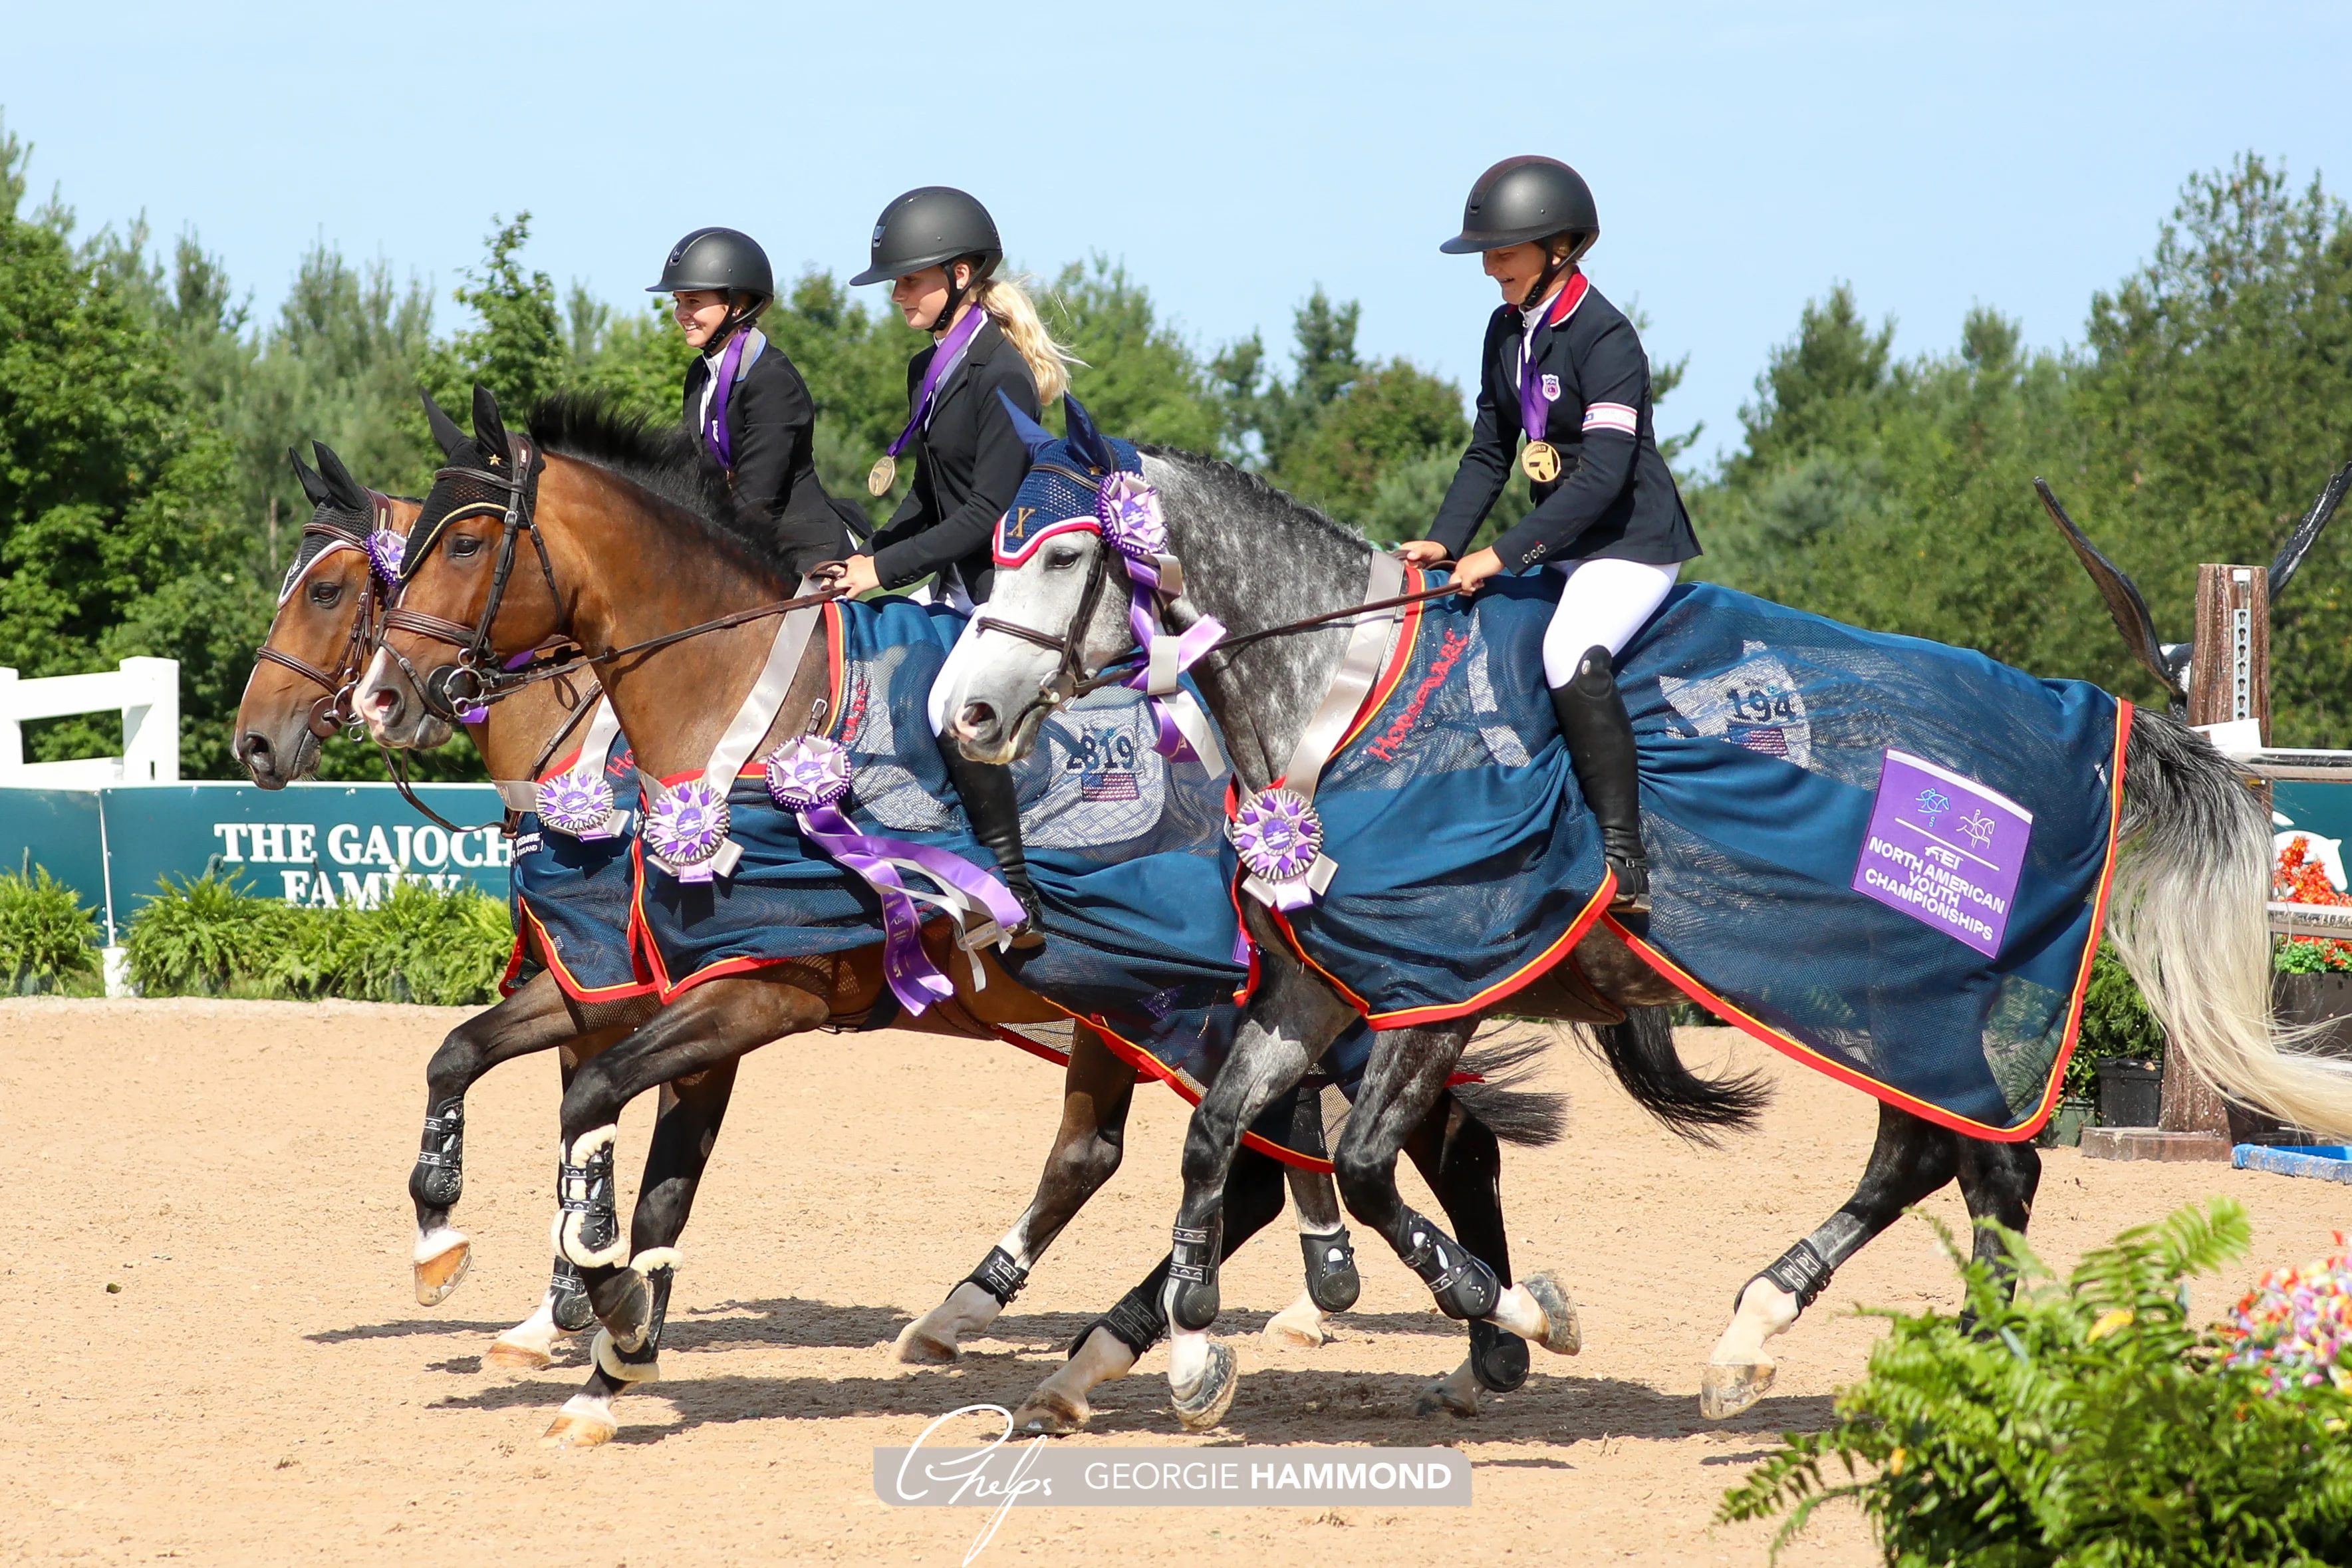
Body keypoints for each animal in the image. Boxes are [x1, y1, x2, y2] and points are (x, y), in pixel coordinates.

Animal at [348, 392, 1561, 1448]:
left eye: (466, 543)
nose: (385, 693)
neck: (736, 709)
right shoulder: (663, 986)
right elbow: (530, 1101)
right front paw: (556, 1325)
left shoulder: (755, 993)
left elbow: (604, 1121)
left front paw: (601, 1312)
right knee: (1180, 1153)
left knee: (1393, 1142)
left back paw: (1478, 1333)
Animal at [940, 440, 2352, 1420]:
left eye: (1060, 558)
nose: (964, 712)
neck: (1340, 703)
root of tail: (2082, 718)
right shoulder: (1323, 986)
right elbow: (1217, 1138)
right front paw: (1192, 1348)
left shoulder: (1436, 989)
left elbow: (1361, 1164)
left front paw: (1517, 1312)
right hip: (1882, 1004)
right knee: (1927, 1162)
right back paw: (1756, 1336)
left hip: (1913, 994)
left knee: (1986, 1170)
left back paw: (1959, 1364)